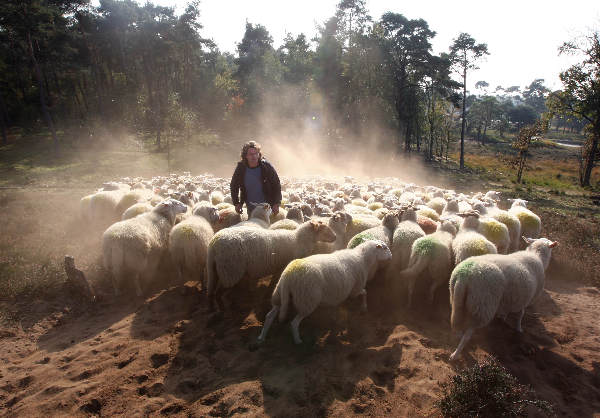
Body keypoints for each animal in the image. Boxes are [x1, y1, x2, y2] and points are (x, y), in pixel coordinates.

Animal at [206, 219, 338, 310]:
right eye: (325, 229)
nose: (335, 237)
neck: (298, 240)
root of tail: (214, 245)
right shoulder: (284, 265)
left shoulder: (278, 267)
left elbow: (273, 282)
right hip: (230, 270)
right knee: (218, 293)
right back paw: (223, 309)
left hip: (216, 270)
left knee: (211, 292)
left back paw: (212, 309)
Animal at [258, 240, 394, 344]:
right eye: (385, 248)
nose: (391, 256)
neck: (363, 259)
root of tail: (288, 276)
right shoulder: (355, 288)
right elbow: (365, 292)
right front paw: (364, 307)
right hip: (307, 300)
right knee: (294, 323)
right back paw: (298, 341)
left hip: (280, 296)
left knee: (269, 316)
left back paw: (261, 337)